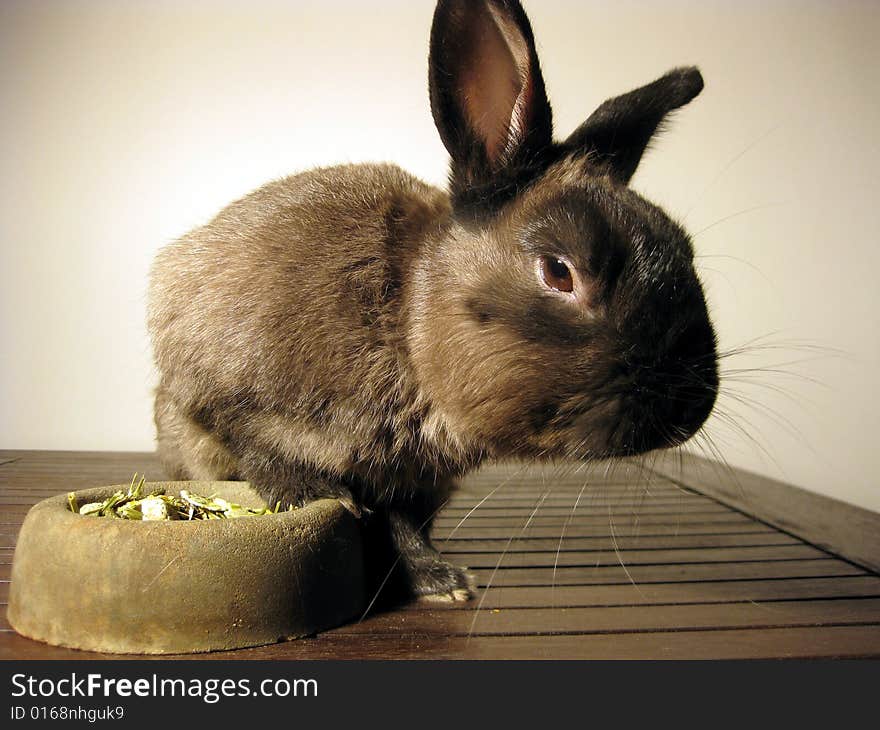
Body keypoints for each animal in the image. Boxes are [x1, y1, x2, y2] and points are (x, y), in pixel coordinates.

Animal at [148, 0, 720, 604]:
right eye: (559, 272)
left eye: (685, 248)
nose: (689, 409)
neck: (406, 321)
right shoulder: (228, 393)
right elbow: (256, 447)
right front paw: (316, 492)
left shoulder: (414, 481)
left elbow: (404, 527)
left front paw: (441, 581)